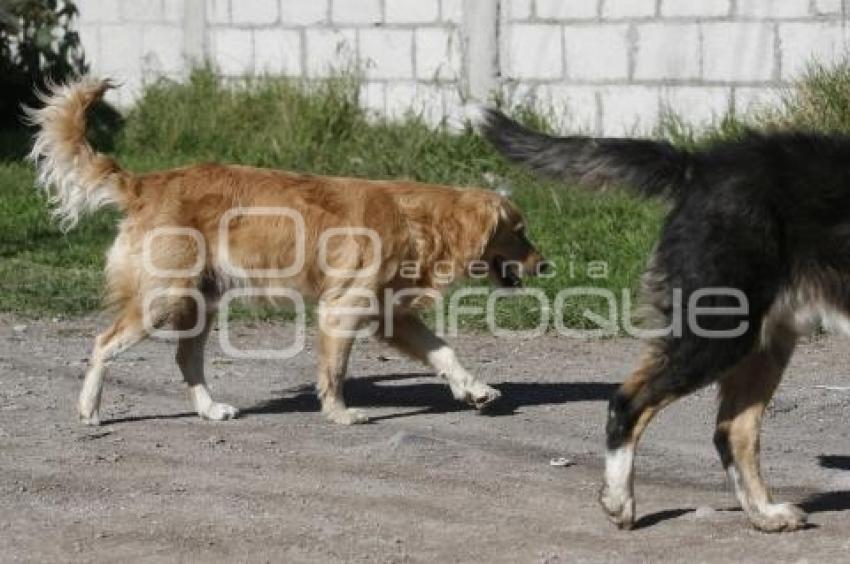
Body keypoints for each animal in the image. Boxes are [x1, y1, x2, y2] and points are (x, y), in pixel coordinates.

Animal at [26, 78, 548, 424]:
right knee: (103, 343)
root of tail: (148, 183)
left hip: (199, 302)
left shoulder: (392, 316)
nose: (546, 264)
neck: (421, 221)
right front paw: (340, 413)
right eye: (520, 231)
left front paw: (475, 390)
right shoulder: (341, 311)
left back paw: (210, 408)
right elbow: (335, 371)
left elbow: (445, 352)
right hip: (163, 298)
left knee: (185, 359)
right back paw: (89, 408)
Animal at [474, 109, 848, 532]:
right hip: (720, 331)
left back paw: (765, 514)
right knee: (627, 404)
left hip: (763, 339)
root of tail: (698, 168)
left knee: (733, 430)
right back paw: (619, 502)